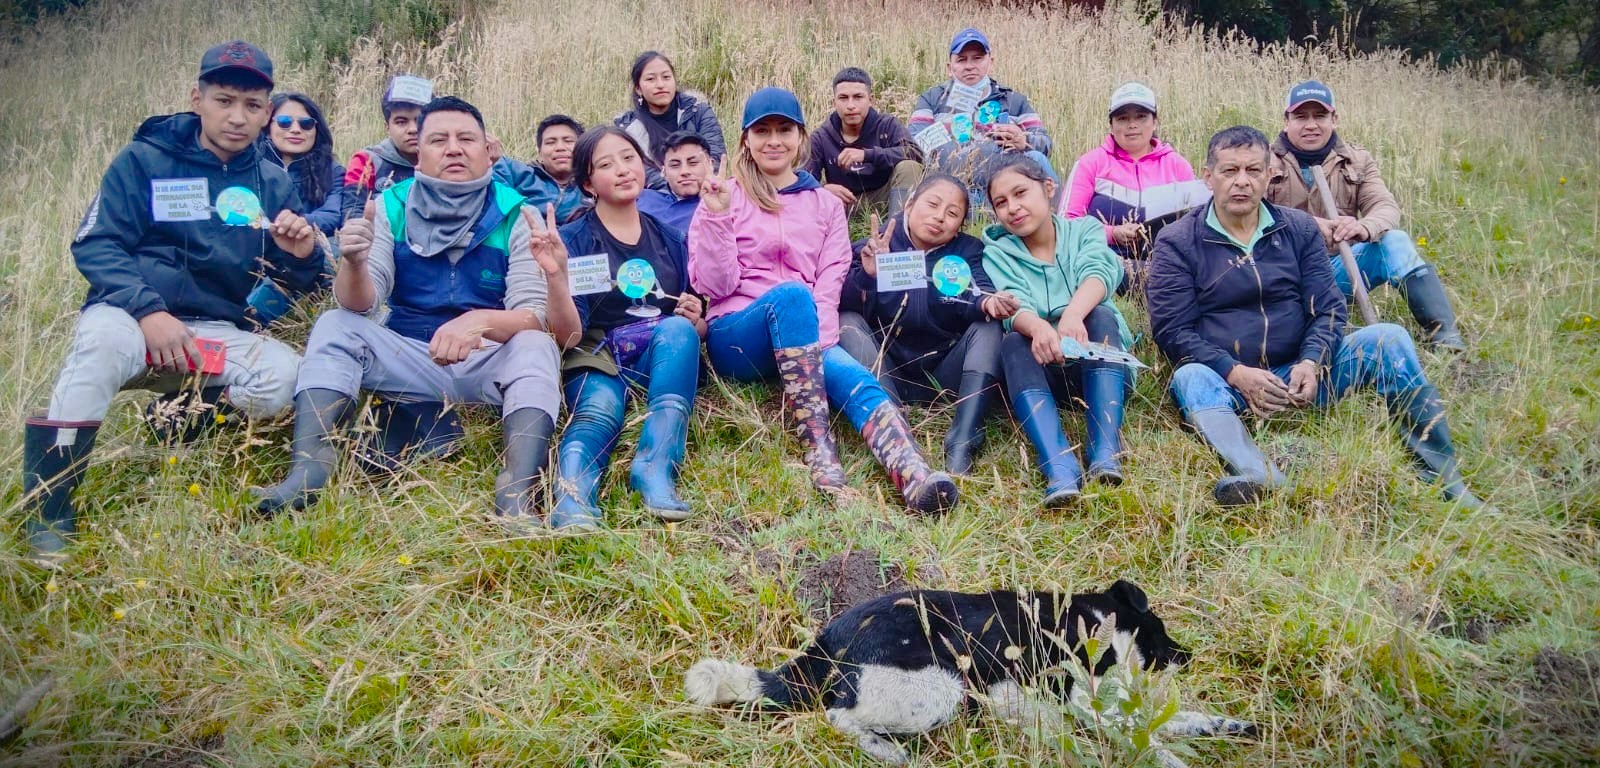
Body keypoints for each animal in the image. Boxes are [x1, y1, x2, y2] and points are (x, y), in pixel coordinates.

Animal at [681, 579, 1254, 764]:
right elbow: (1148, 741)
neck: (1095, 619)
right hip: (943, 687)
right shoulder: (1083, 698)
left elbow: (1176, 721)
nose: (1187, 656)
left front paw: (1229, 725)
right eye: (1160, 628)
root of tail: (821, 649)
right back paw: (888, 752)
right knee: (838, 717)